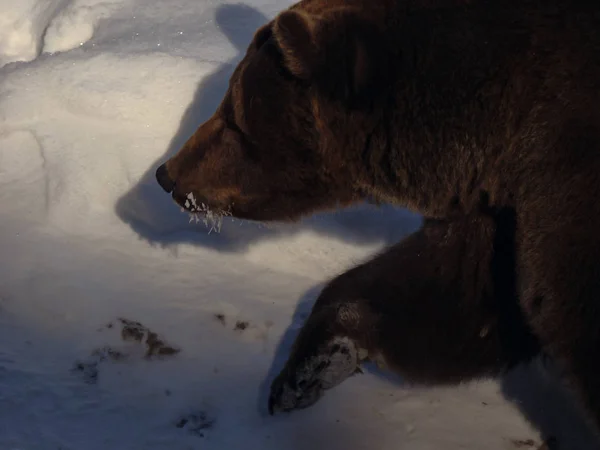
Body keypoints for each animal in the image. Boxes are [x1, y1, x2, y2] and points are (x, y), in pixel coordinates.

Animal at [156, 0, 600, 442]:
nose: (167, 174)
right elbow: (457, 288)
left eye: (234, 117)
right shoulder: (504, 207)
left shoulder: (563, 168)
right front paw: (310, 367)